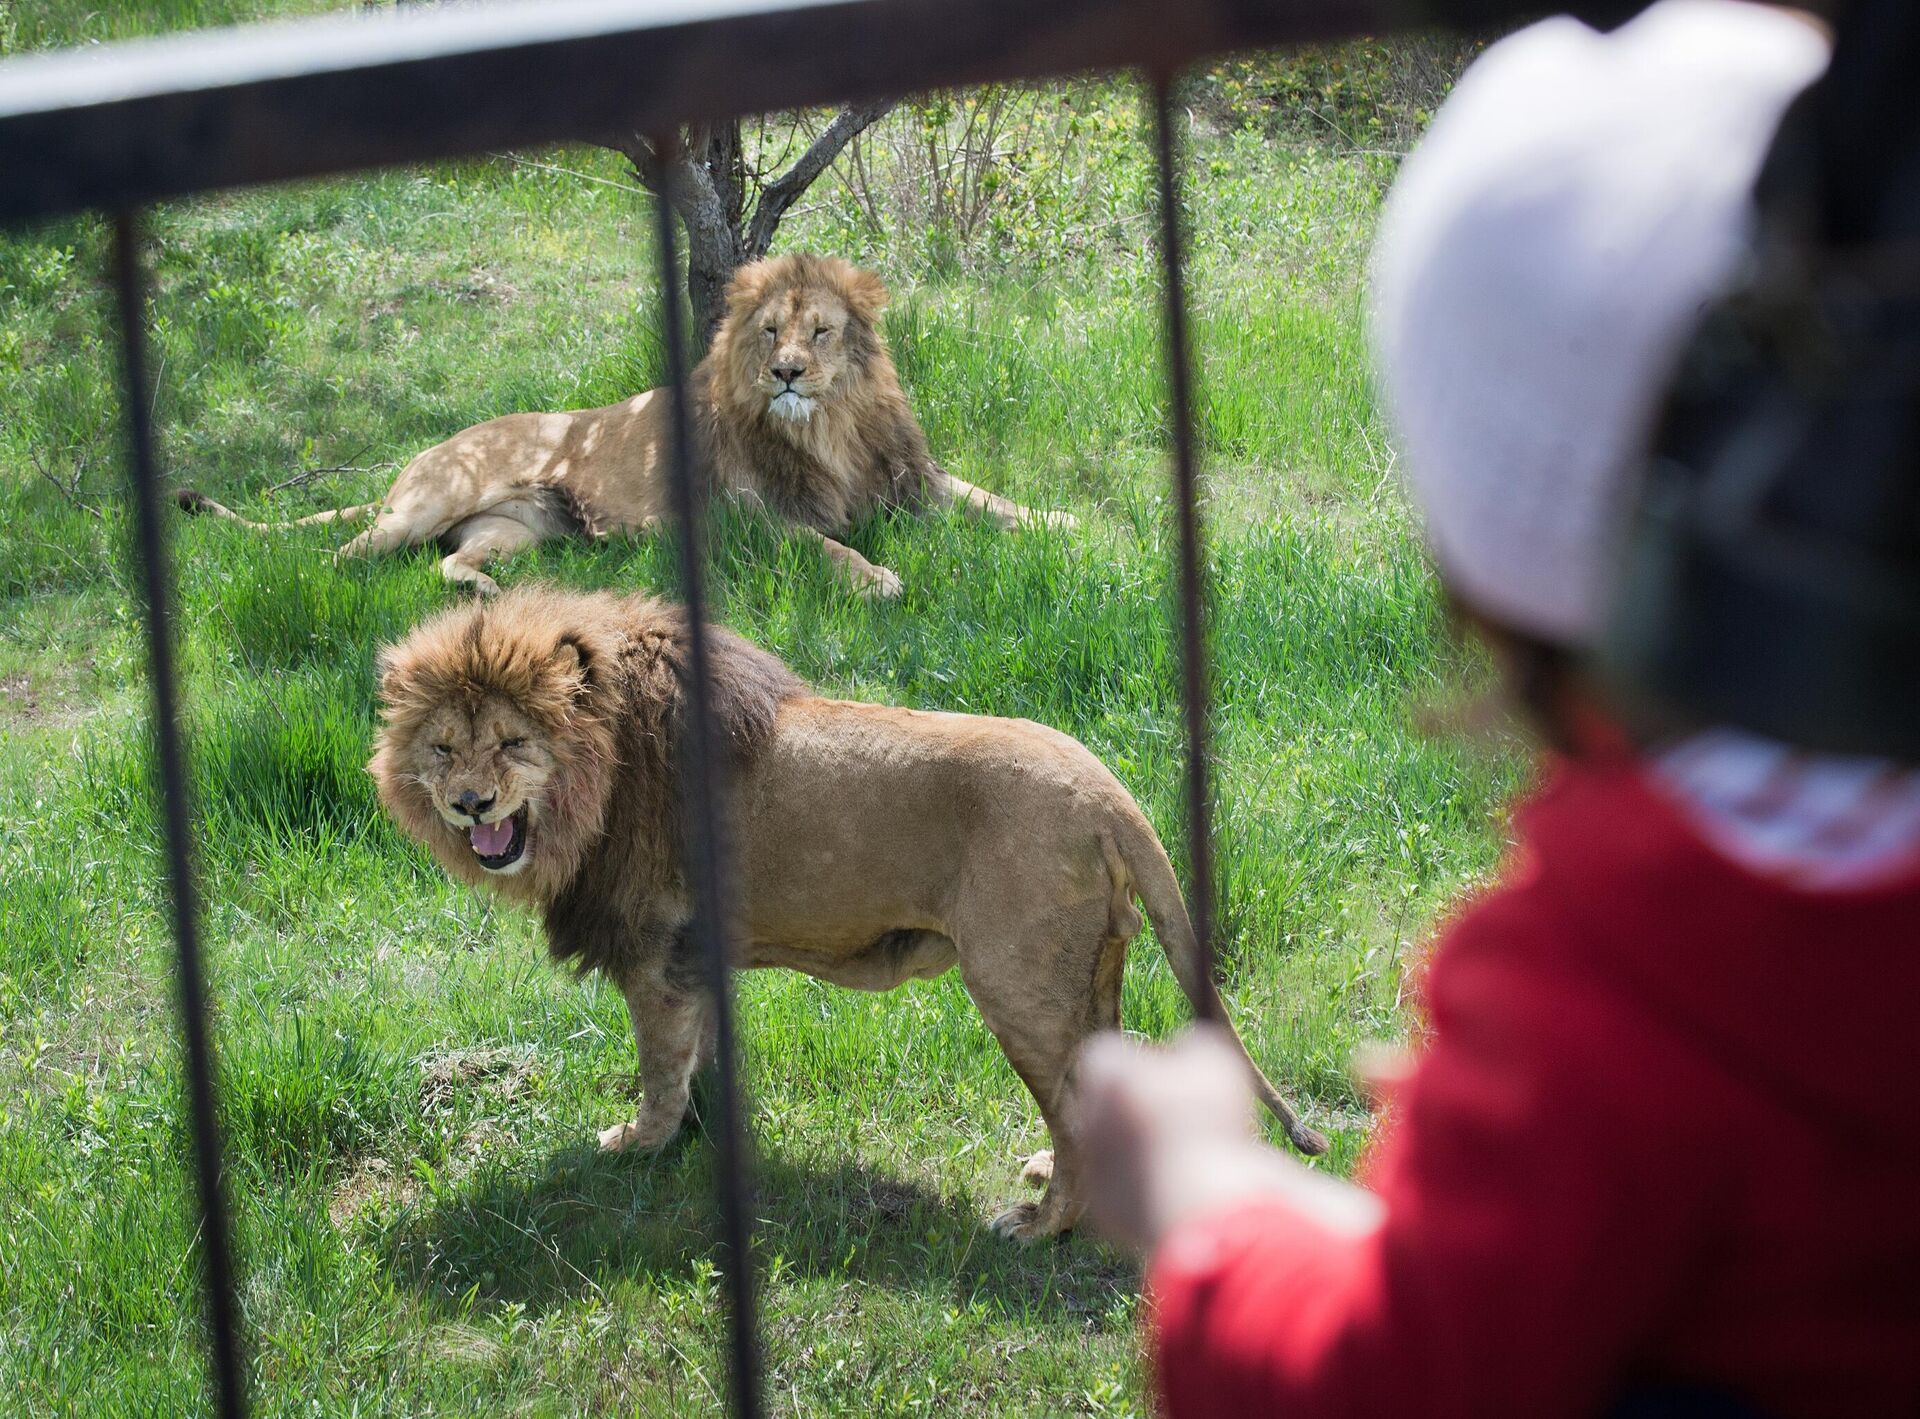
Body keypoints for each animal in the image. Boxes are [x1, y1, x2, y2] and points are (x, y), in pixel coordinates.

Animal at [176, 255, 1067, 599]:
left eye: (820, 332)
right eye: (769, 332)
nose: (786, 373)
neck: (830, 429)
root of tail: (417, 458)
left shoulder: (910, 475)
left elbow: (990, 499)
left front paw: (1069, 522)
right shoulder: (749, 519)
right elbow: (829, 547)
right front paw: (878, 577)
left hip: (521, 531)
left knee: (449, 563)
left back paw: (487, 595)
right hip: (431, 501)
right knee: (345, 551)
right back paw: (332, 584)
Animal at [366, 587, 1328, 1244]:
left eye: (513, 741)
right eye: (441, 747)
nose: (469, 802)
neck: (594, 781)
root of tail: (1110, 794)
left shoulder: (653, 947)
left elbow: (658, 1063)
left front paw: (640, 1142)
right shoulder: (693, 953)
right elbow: (701, 1053)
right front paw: (700, 1135)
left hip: (1016, 986)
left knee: (1073, 1100)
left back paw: (1041, 1223)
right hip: (1087, 979)